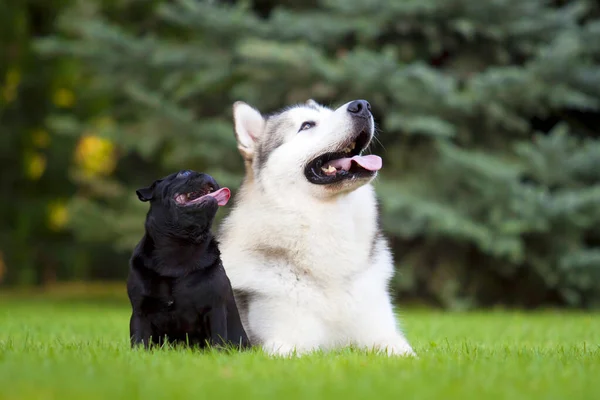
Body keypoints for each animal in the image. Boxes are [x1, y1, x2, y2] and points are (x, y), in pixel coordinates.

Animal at [126, 170, 248, 350]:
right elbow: (140, 342)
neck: (179, 247)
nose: (207, 175)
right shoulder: (140, 312)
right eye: (182, 174)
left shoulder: (215, 309)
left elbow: (217, 342)